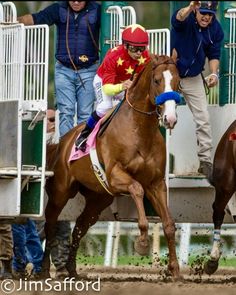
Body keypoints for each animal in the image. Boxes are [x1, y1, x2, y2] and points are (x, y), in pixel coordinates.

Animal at [42, 53, 181, 280]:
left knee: (79, 227)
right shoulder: (115, 176)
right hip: (60, 192)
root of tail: (61, 142)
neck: (139, 130)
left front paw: (175, 270)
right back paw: (44, 269)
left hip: (98, 198)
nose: (170, 118)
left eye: (178, 82)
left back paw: (72, 269)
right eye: (157, 80)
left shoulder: (156, 183)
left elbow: (168, 224)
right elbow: (137, 189)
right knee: (51, 225)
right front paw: (142, 242)